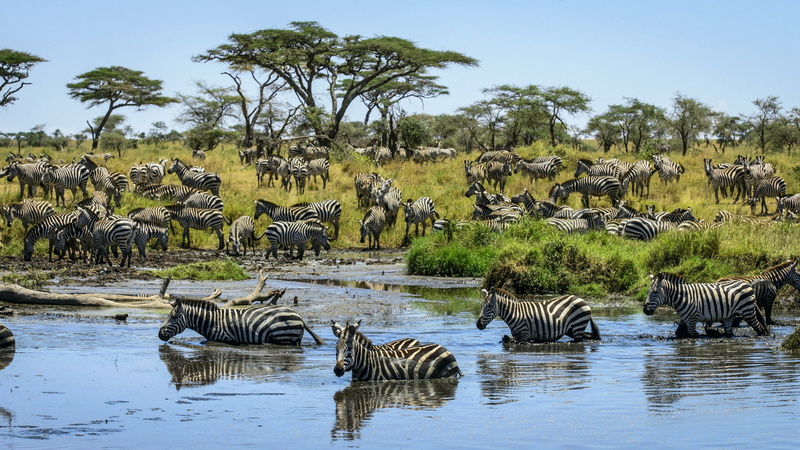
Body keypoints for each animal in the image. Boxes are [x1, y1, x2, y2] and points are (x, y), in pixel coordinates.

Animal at [158, 298, 326, 345]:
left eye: (173, 318)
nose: (160, 334)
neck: (212, 321)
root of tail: (299, 315)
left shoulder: (225, 338)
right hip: (295, 339)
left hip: (281, 335)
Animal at [333, 320, 462, 381]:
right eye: (335, 348)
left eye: (349, 348)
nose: (338, 370)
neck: (367, 363)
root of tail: (443, 348)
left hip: (447, 377)